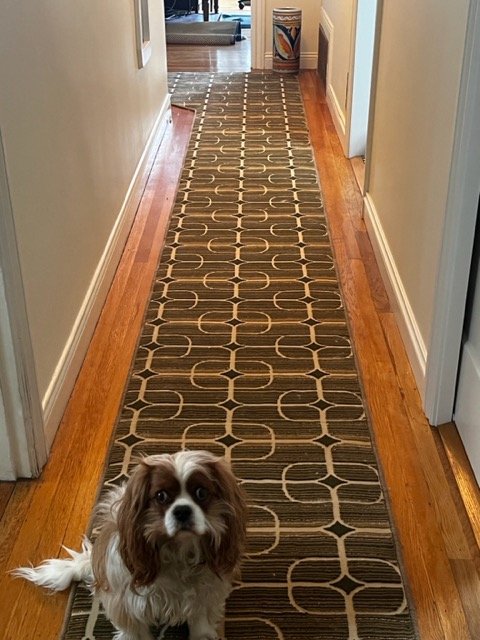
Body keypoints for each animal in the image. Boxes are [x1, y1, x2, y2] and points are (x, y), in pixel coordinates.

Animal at [12, 450, 248, 640]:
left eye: (201, 493)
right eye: (161, 496)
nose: (182, 510)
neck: (177, 553)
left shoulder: (206, 592)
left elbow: (199, 619)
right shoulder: (128, 604)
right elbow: (134, 631)